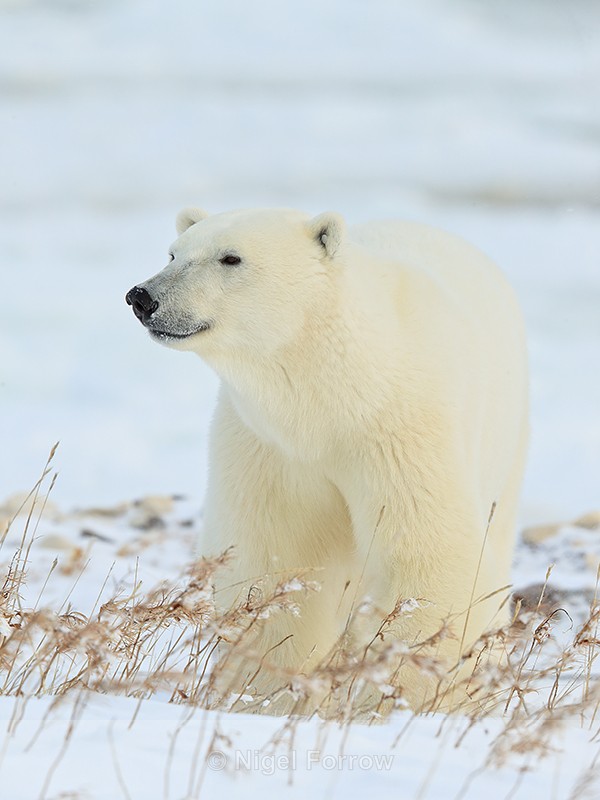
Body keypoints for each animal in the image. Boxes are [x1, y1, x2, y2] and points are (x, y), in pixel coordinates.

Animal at [126, 207, 529, 715]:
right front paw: (264, 691)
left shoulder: (404, 428)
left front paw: (391, 699)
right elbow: (274, 558)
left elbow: (430, 557)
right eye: (174, 254)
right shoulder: (268, 444)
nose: (142, 297)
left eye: (230, 257)